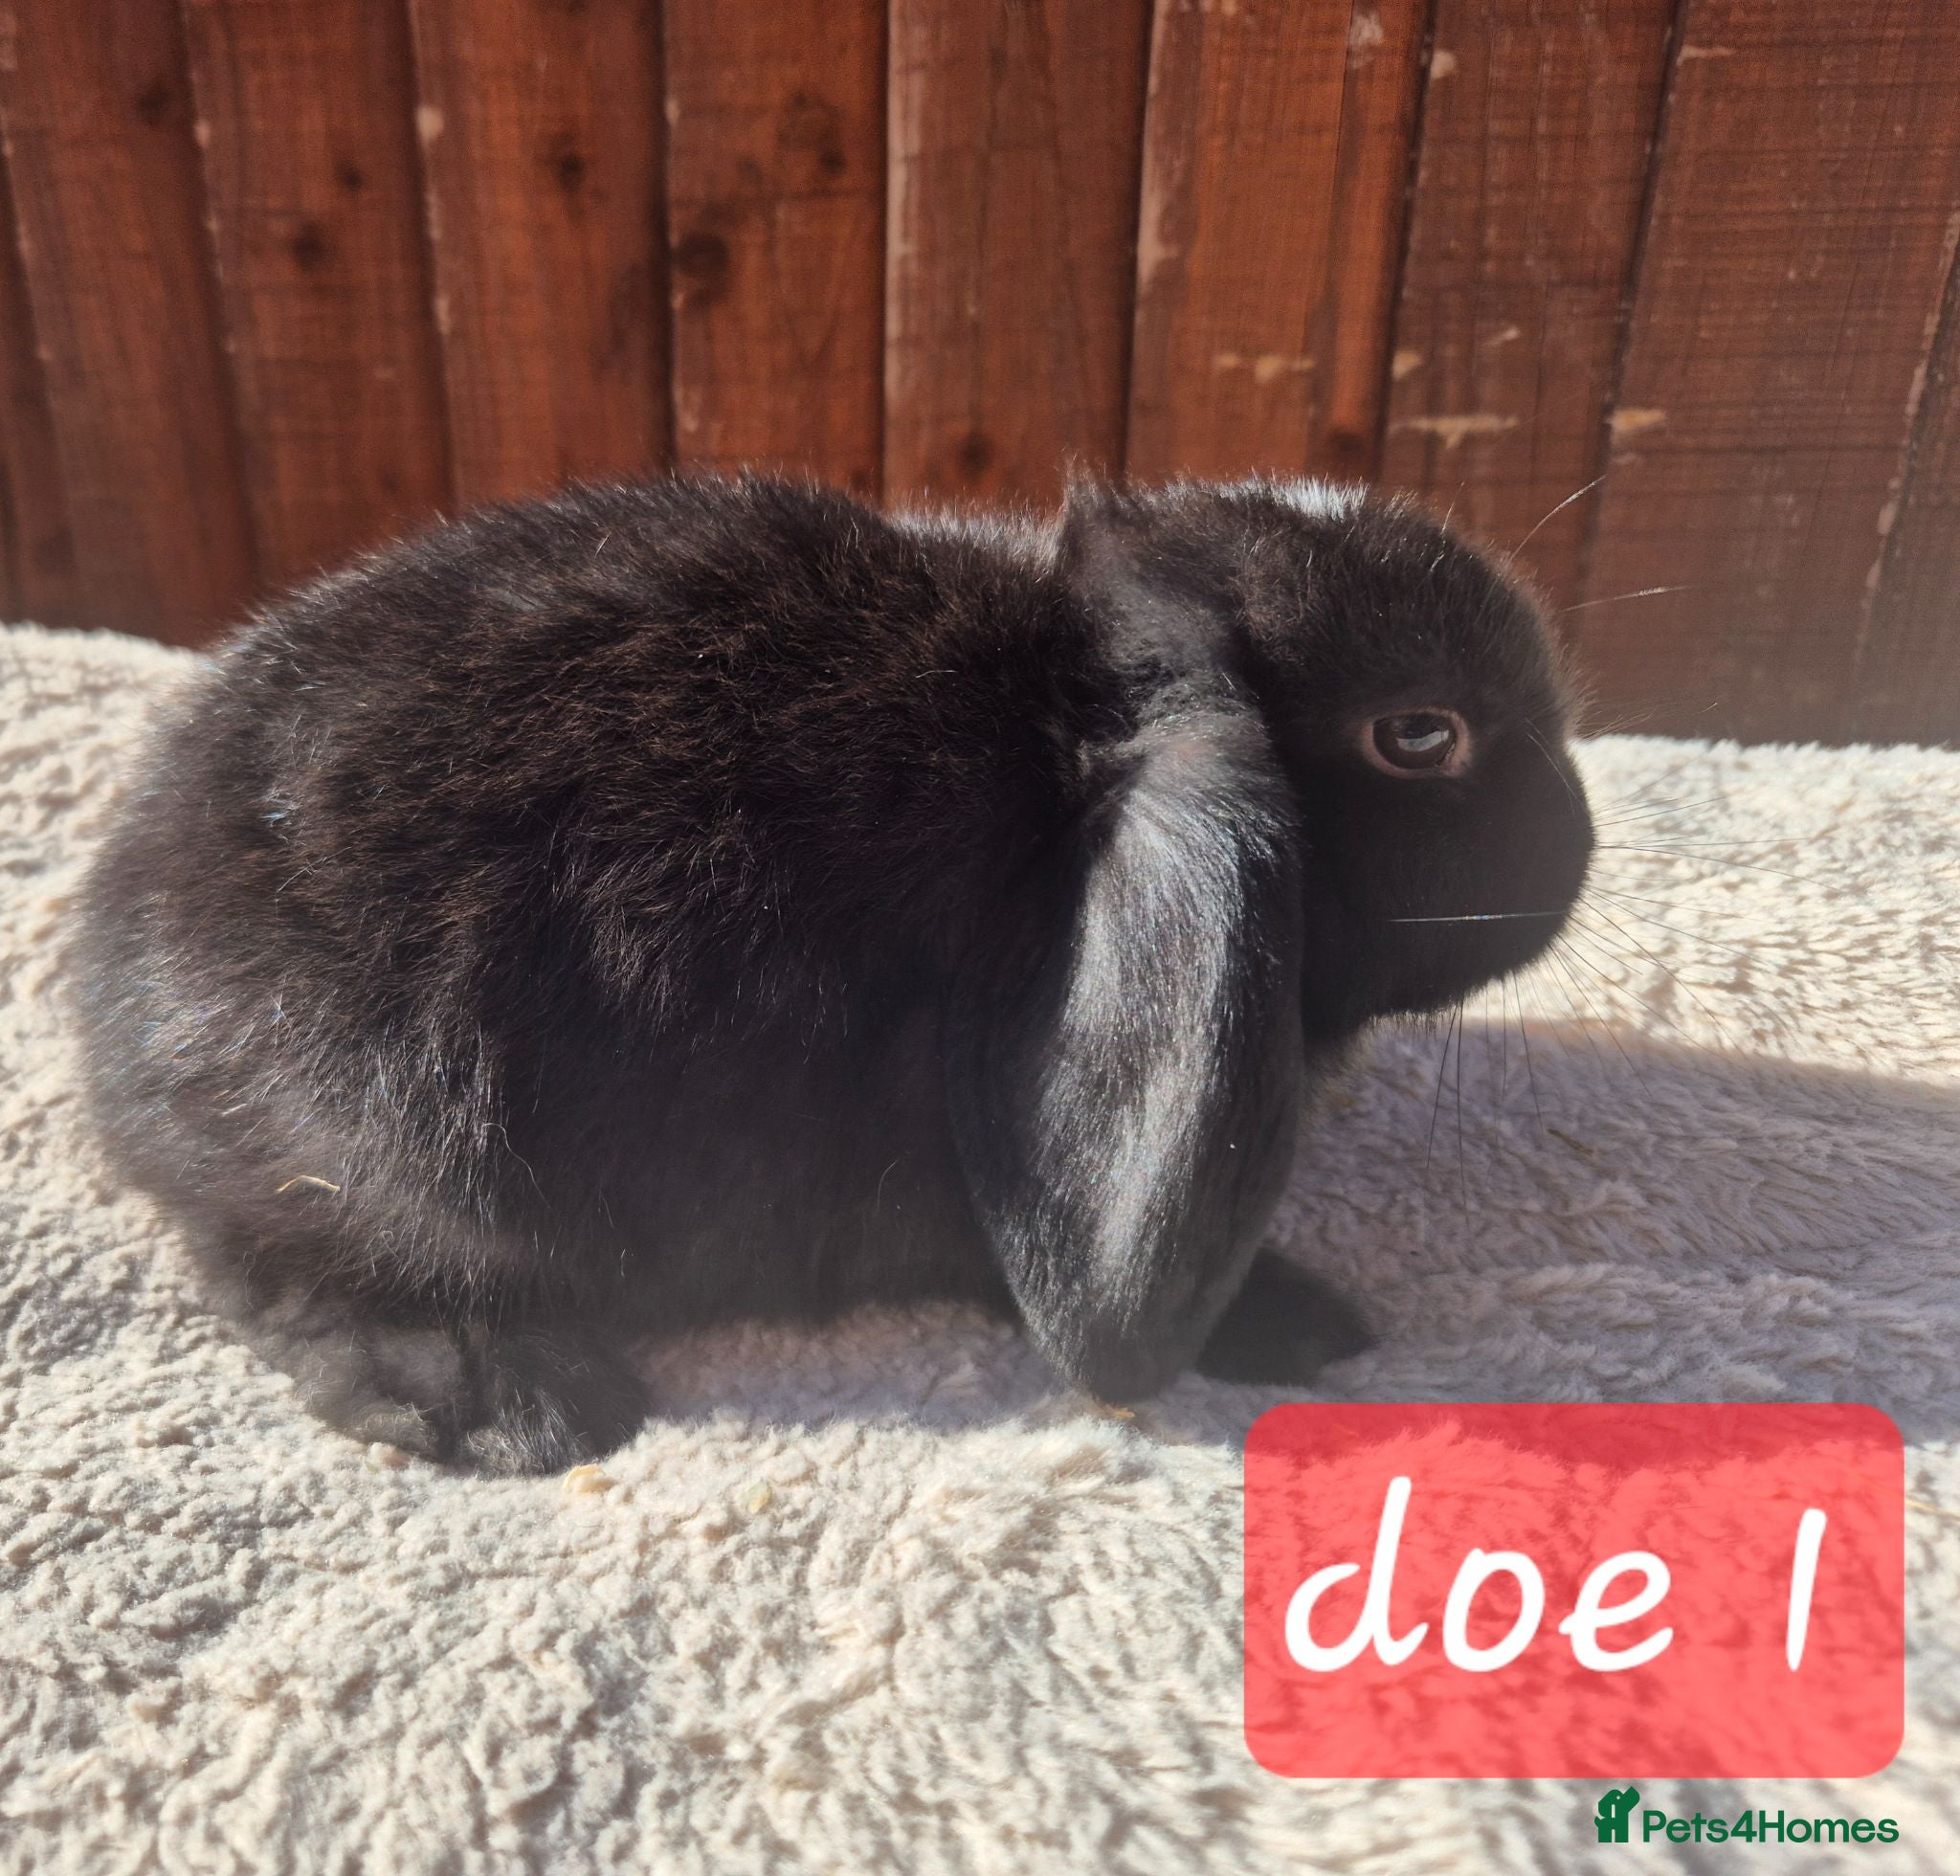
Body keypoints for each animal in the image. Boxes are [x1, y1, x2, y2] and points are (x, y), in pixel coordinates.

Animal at [70, 473, 1594, 1474]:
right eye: (1419, 734)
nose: (1578, 839)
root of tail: (110, 980)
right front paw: (1300, 1323)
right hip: (408, 1157)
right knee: (271, 1263)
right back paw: (511, 1405)